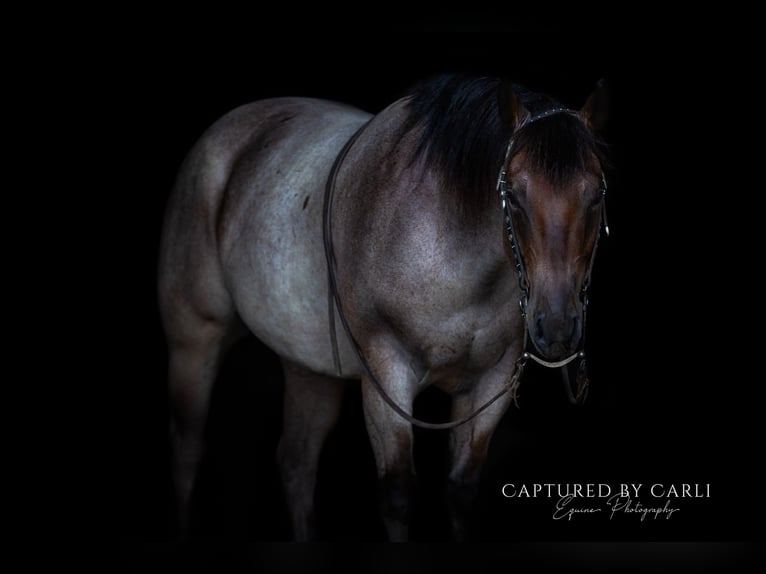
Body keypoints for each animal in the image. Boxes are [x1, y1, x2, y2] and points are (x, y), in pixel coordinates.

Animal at [157, 74, 610, 541]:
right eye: (513, 194)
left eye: (596, 194)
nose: (556, 327)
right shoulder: (386, 374)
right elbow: (397, 495)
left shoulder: (491, 382)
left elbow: (461, 490)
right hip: (194, 341)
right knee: (188, 448)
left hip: (309, 369)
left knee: (296, 463)